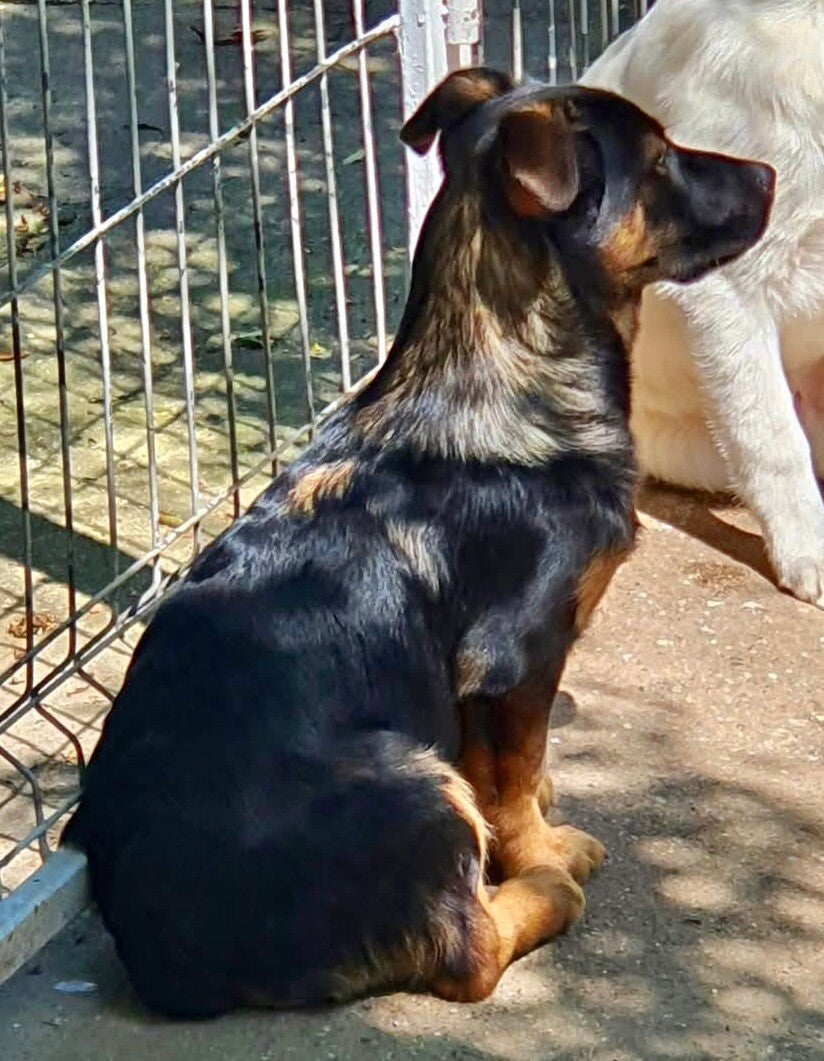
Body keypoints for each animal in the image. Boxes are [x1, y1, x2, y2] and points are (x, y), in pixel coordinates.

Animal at [62, 69, 774, 1018]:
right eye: (660, 163)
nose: (772, 175)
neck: (505, 373)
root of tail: (170, 961)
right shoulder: (517, 658)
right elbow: (513, 777)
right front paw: (543, 848)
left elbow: (510, 771)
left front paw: (532, 815)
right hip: (411, 778)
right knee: (468, 952)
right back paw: (543, 890)